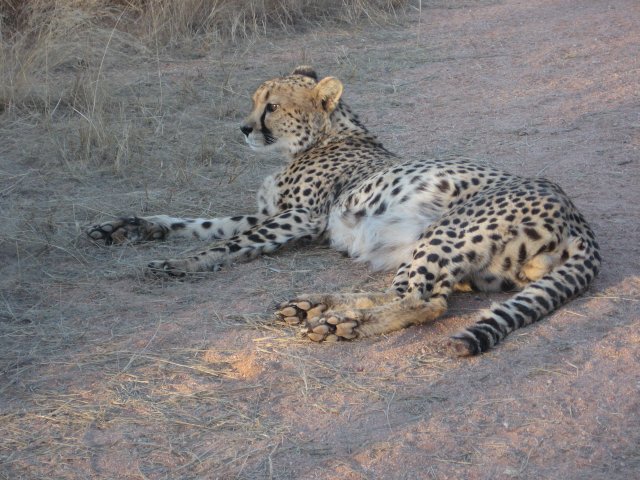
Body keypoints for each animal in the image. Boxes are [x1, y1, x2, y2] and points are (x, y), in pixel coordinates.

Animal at [87, 65, 604, 354]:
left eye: (271, 106)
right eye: (255, 101)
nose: (244, 128)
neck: (325, 135)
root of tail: (576, 215)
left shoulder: (300, 218)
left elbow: (230, 242)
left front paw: (180, 263)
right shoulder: (271, 215)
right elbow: (199, 224)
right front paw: (127, 228)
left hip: (446, 230)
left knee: (425, 301)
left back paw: (340, 325)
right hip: (459, 260)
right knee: (413, 292)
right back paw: (313, 307)